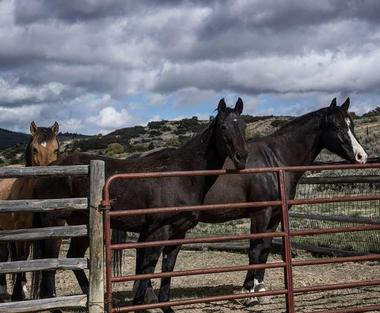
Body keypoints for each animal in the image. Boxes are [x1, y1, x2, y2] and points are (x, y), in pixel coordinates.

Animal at [0, 121, 59, 300]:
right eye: (35, 149)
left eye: (56, 150)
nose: (46, 179)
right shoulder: (23, 232)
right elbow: (21, 258)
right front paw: (16, 295)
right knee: (4, 255)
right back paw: (4, 290)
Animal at [31, 98, 248, 310]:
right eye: (223, 127)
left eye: (243, 125)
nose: (242, 158)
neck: (181, 174)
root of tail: (48, 169)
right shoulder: (157, 233)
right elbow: (147, 270)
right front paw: (140, 303)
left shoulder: (178, 234)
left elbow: (167, 270)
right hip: (56, 225)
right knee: (50, 265)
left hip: (83, 226)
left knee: (73, 257)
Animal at [202, 97, 368, 302]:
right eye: (336, 126)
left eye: (351, 125)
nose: (362, 156)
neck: (275, 161)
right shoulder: (260, 213)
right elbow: (254, 250)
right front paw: (248, 291)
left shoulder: (274, 215)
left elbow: (264, 248)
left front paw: (260, 287)